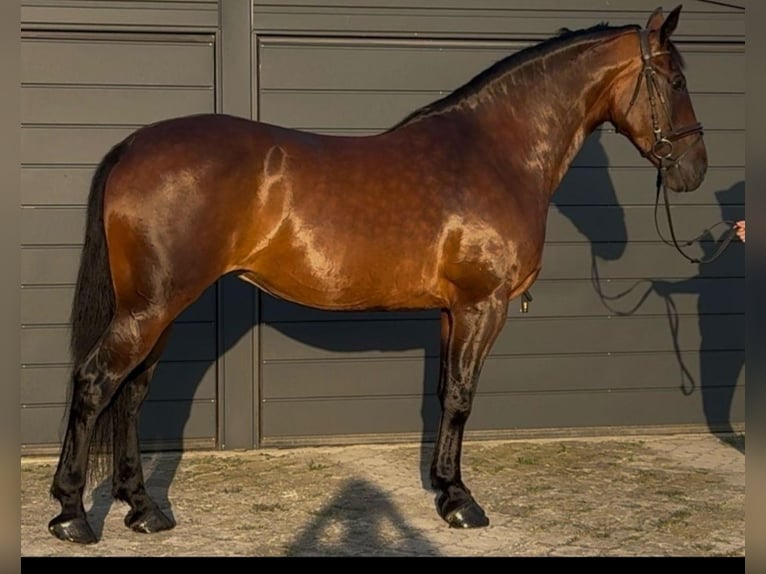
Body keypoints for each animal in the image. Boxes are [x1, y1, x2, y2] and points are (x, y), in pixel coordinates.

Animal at [48, 5, 707, 544]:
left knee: (132, 394)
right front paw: (462, 503)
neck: (495, 153)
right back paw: (72, 515)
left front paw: (443, 487)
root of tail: (133, 146)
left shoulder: (451, 311)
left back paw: (143, 509)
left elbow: (444, 394)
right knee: (95, 383)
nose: (694, 169)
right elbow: (463, 397)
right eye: (675, 80)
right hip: (151, 306)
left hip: (158, 308)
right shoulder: (482, 306)